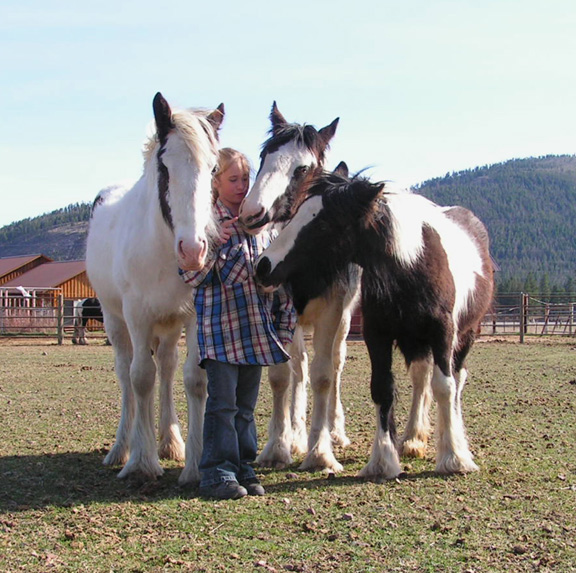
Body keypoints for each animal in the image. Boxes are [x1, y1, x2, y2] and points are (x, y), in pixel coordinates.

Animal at [236, 104, 358, 474]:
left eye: (302, 167)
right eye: (264, 156)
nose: (252, 213)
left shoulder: (332, 312)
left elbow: (323, 376)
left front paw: (320, 451)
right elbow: (281, 376)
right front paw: (279, 445)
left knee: (334, 365)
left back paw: (334, 432)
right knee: (298, 369)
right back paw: (295, 434)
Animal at [258, 171, 496, 478]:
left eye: (323, 223)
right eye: (295, 214)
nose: (263, 265)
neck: (411, 266)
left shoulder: (443, 333)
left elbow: (444, 387)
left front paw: (454, 458)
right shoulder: (377, 335)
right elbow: (382, 389)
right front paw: (383, 460)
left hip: (464, 336)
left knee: (456, 380)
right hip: (414, 341)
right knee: (421, 379)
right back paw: (412, 439)